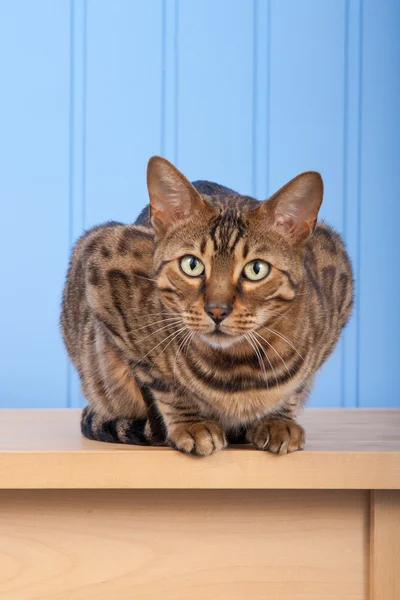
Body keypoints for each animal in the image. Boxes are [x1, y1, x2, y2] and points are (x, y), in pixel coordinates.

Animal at [60, 155, 354, 454]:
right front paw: (193, 423)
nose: (217, 310)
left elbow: (296, 387)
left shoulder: (336, 271)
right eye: (192, 265)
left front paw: (278, 419)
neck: (238, 369)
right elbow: (162, 383)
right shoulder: (103, 264)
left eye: (256, 269)